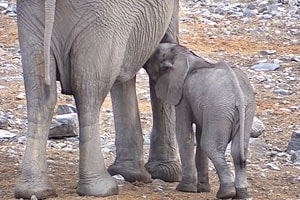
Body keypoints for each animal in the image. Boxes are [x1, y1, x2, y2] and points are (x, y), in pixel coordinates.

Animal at [15, 0, 180, 199]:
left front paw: (130, 173)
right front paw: (165, 173)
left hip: (32, 16)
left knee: (40, 92)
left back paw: (34, 191)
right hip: (104, 17)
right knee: (88, 90)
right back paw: (102, 189)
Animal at [145, 43, 255, 199]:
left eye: (155, 53)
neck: (187, 55)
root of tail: (238, 95)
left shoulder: (183, 95)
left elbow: (184, 134)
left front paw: (185, 189)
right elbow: (198, 134)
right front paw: (203, 189)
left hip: (218, 109)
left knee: (211, 146)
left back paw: (226, 193)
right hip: (246, 110)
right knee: (238, 151)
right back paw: (242, 194)